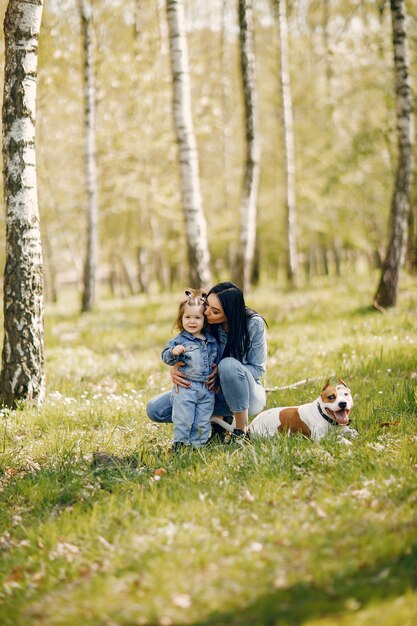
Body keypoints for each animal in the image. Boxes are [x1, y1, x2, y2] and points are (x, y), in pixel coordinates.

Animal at [211, 378, 358, 442]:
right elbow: (337, 437)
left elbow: (353, 432)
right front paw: (346, 441)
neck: (324, 415)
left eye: (346, 394)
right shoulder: (319, 438)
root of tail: (251, 426)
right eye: (331, 397)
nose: (343, 403)